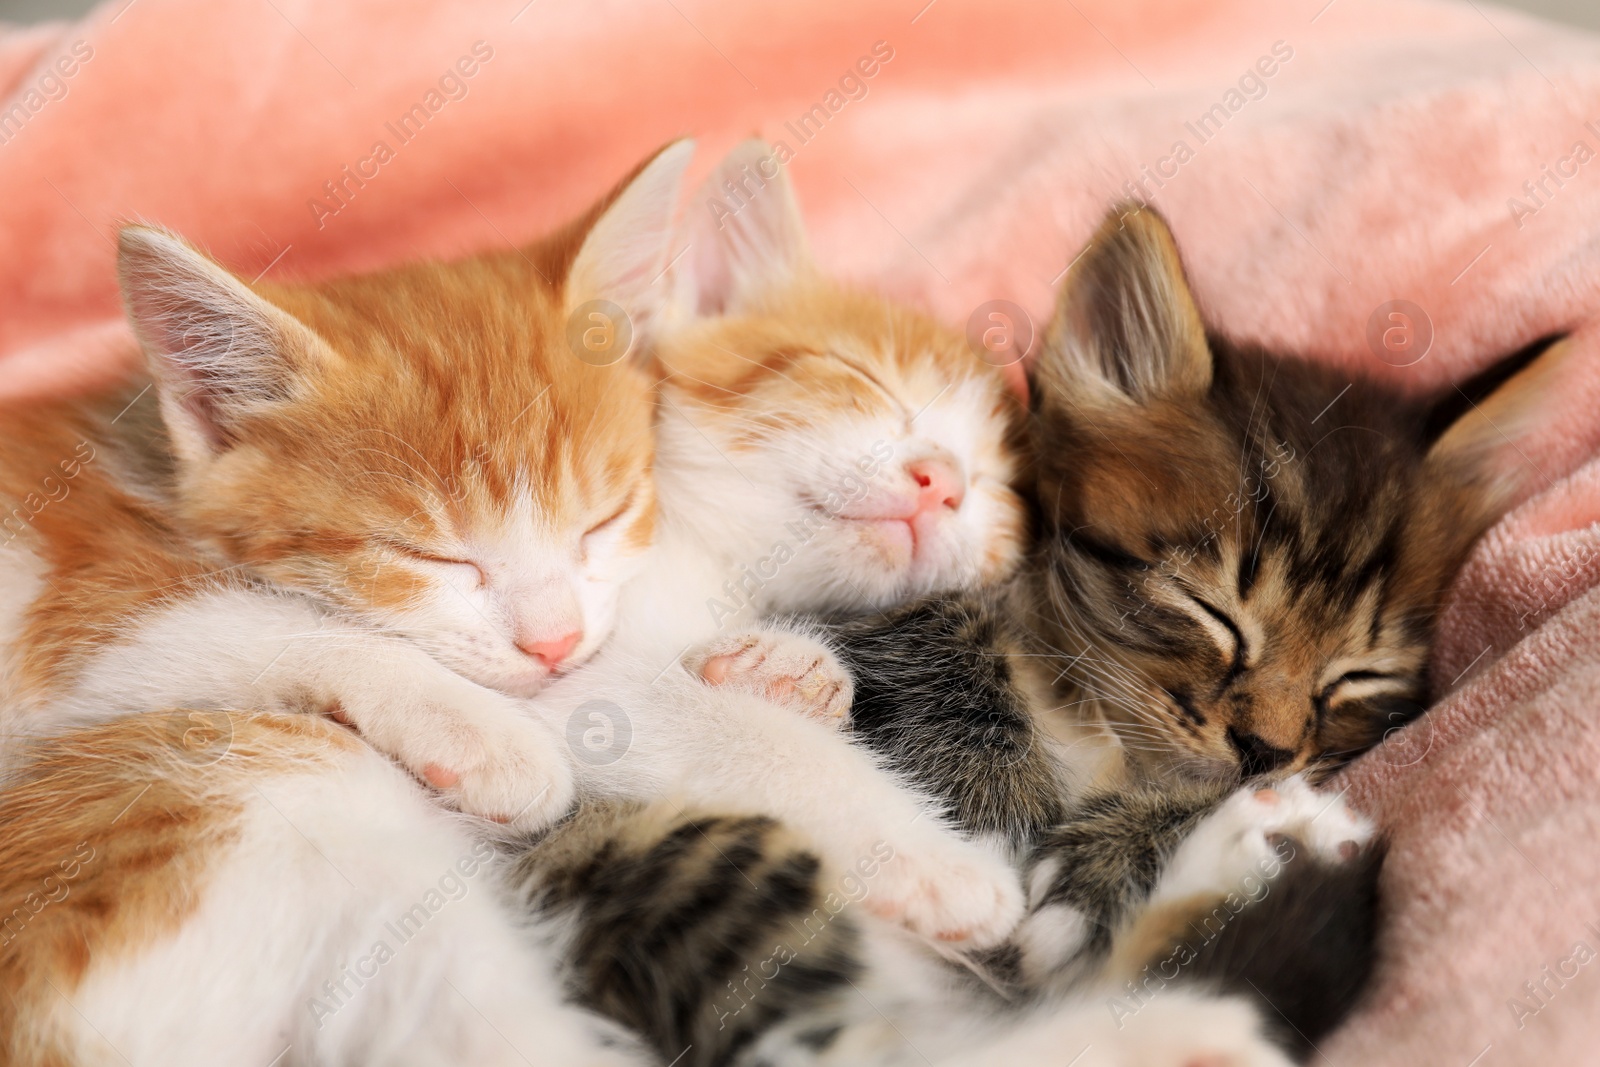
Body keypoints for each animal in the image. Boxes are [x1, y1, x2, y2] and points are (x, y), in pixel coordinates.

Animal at [0, 141, 694, 831]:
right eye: (425, 555)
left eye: (607, 519)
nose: (555, 645)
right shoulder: (74, 599)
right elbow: (236, 620)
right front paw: (479, 730)